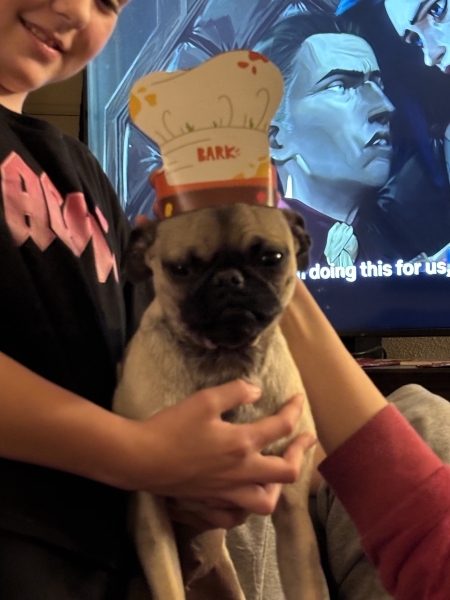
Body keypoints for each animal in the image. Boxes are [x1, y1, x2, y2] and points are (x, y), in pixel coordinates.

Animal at [113, 202, 329, 600]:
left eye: (272, 258)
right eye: (180, 269)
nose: (229, 278)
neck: (226, 361)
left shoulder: (292, 513)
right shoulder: (151, 515)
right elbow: (167, 587)